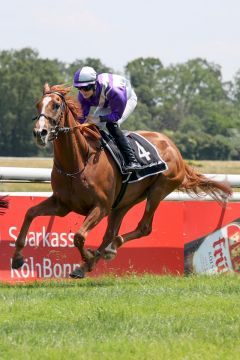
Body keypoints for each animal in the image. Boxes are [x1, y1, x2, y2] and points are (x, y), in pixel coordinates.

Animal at [11, 83, 232, 278]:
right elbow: (30, 213)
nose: (40, 133)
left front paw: (87, 258)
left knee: (143, 228)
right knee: (111, 232)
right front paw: (17, 258)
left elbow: (79, 236)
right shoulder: (62, 204)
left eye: (56, 105)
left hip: (158, 190)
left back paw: (107, 251)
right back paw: (98, 257)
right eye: (38, 104)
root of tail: (173, 147)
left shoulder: (100, 206)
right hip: (124, 201)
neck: (79, 161)